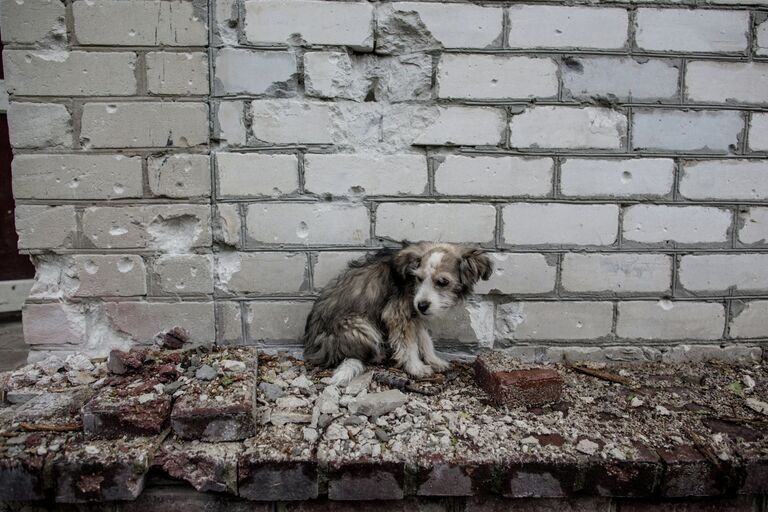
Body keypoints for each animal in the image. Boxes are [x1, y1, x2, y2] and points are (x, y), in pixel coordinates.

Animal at [302, 243, 492, 384]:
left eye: (443, 282)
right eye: (418, 278)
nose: (422, 305)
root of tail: (313, 350)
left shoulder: (415, 316)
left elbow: (425, 340)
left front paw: (434, 360)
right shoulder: (398, 314)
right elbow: (408, 346)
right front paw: (416, 368)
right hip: (360, 325)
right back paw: (378, 355)